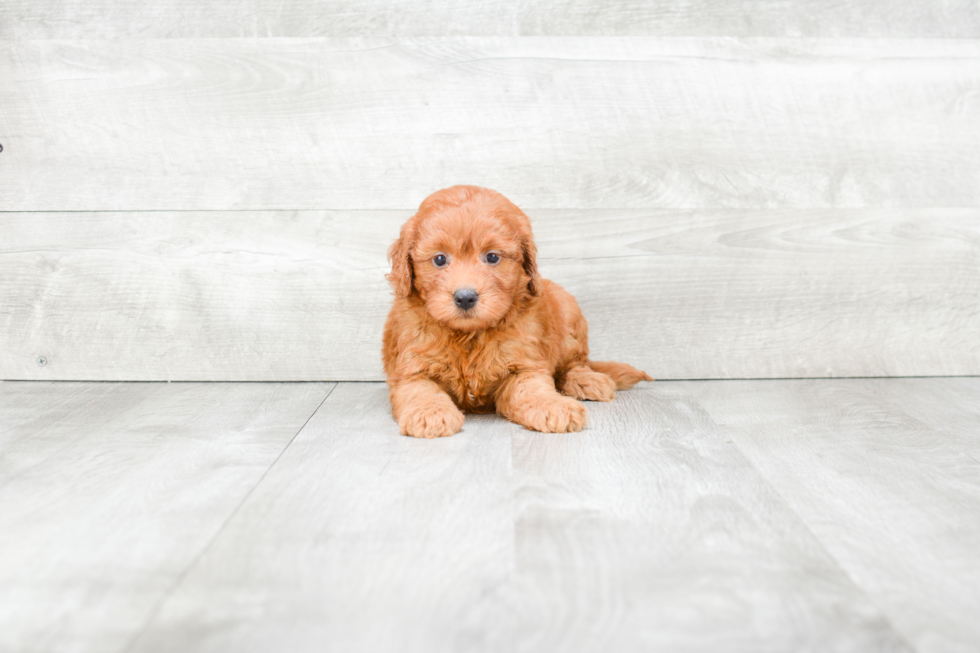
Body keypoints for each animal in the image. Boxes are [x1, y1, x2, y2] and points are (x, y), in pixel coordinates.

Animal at [382, 183, 652, 438]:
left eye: (492, 257)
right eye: (439, 259)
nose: (465, 297)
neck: (469, 335)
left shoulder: (524, 365)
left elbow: (533, 389)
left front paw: (554, 406)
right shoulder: (412, 370)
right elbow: (420, 391)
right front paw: (430, 413)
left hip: (569, 317)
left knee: (575, 363)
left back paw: (586, 380)